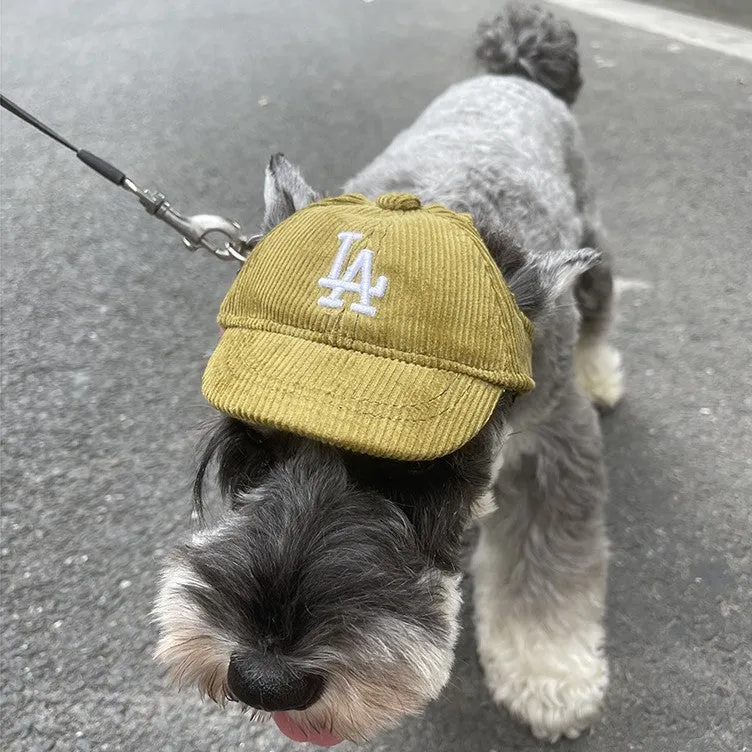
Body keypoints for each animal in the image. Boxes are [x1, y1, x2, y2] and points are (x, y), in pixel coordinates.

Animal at [153, 2, 624, 748]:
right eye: (253, 445)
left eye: (418, 475)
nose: (265, 681)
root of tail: (513, 75)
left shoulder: (556, 441)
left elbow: (549, 566)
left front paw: (550, 674)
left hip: (592, 233)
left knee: (603, 296)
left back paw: (602, 372)